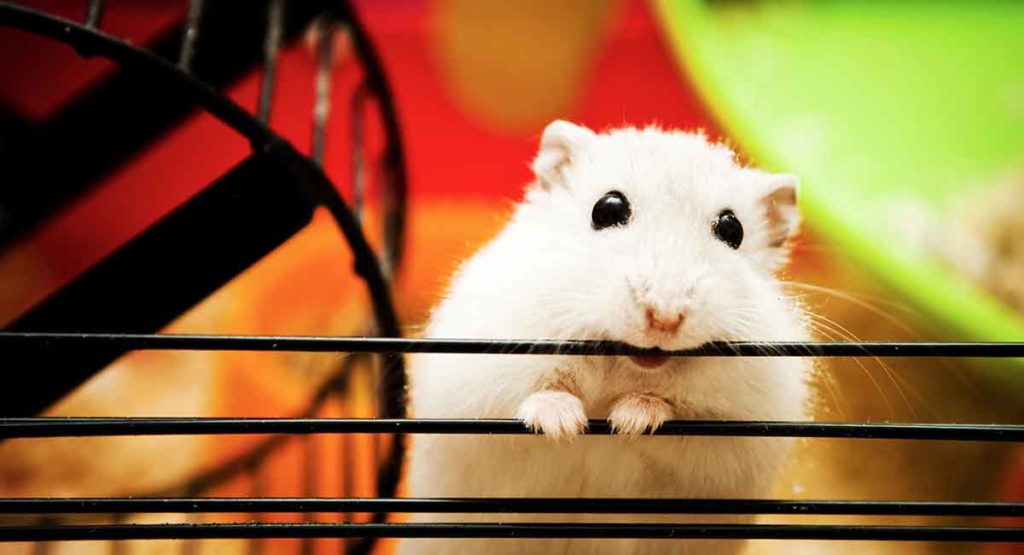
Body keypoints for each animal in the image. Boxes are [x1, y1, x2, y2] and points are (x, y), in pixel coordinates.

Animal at [398, 121, 812, 555]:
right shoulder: (478, 388)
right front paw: (565, 424)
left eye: (733, 229)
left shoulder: (738, 438)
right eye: (608, 209)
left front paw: (630, 419)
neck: (621, 366)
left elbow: (680, 425)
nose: (664, 316)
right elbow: (536, 393)